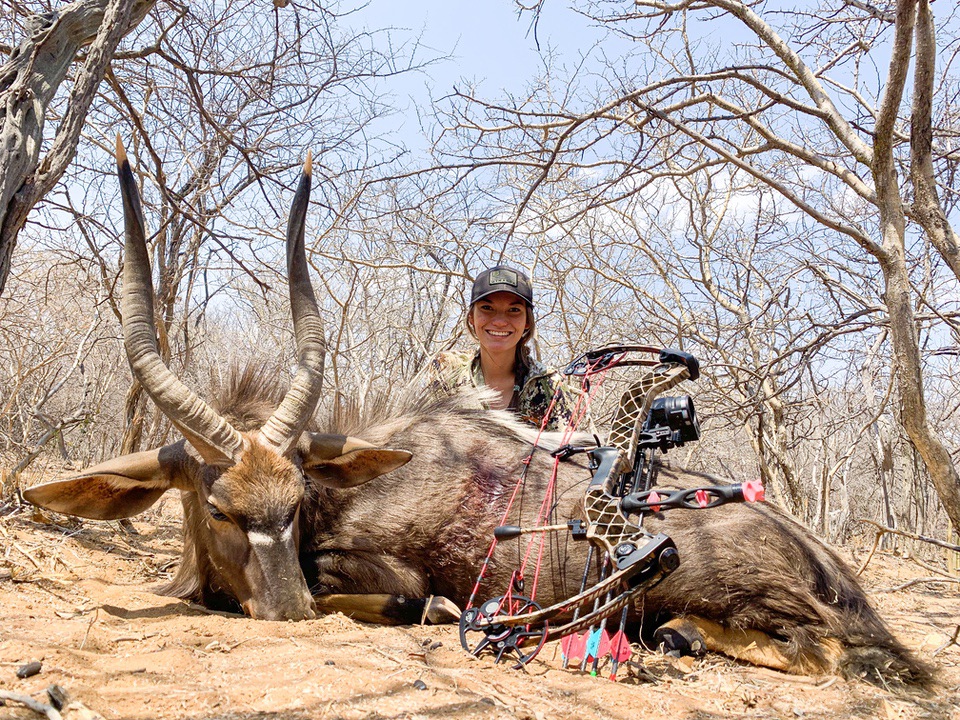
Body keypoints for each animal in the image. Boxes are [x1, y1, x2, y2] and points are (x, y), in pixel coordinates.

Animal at [24, 143, 928, 688]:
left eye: (293, 500)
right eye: (217, 506)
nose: (289, 613)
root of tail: (818, 556)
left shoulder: (387, 571)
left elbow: (407, 598)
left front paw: (440, 611)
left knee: (816, 649)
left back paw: (679, 636)